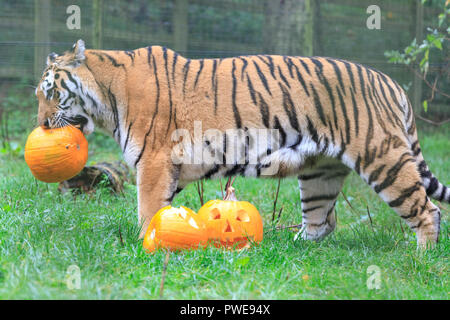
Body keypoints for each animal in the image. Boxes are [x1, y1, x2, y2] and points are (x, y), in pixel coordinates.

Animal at [35, 40, 446, 249]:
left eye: (52, 93)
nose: (41, 124)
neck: (106, 97)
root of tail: (390, 82)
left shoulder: (153, 162)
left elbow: (147, 210)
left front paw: (142, 246)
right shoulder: (170, 168)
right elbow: (163, 210)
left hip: (383, 158)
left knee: (428, 211)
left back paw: (422, 257)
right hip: (320, 174)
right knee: (322, 222)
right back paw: (293, 251)